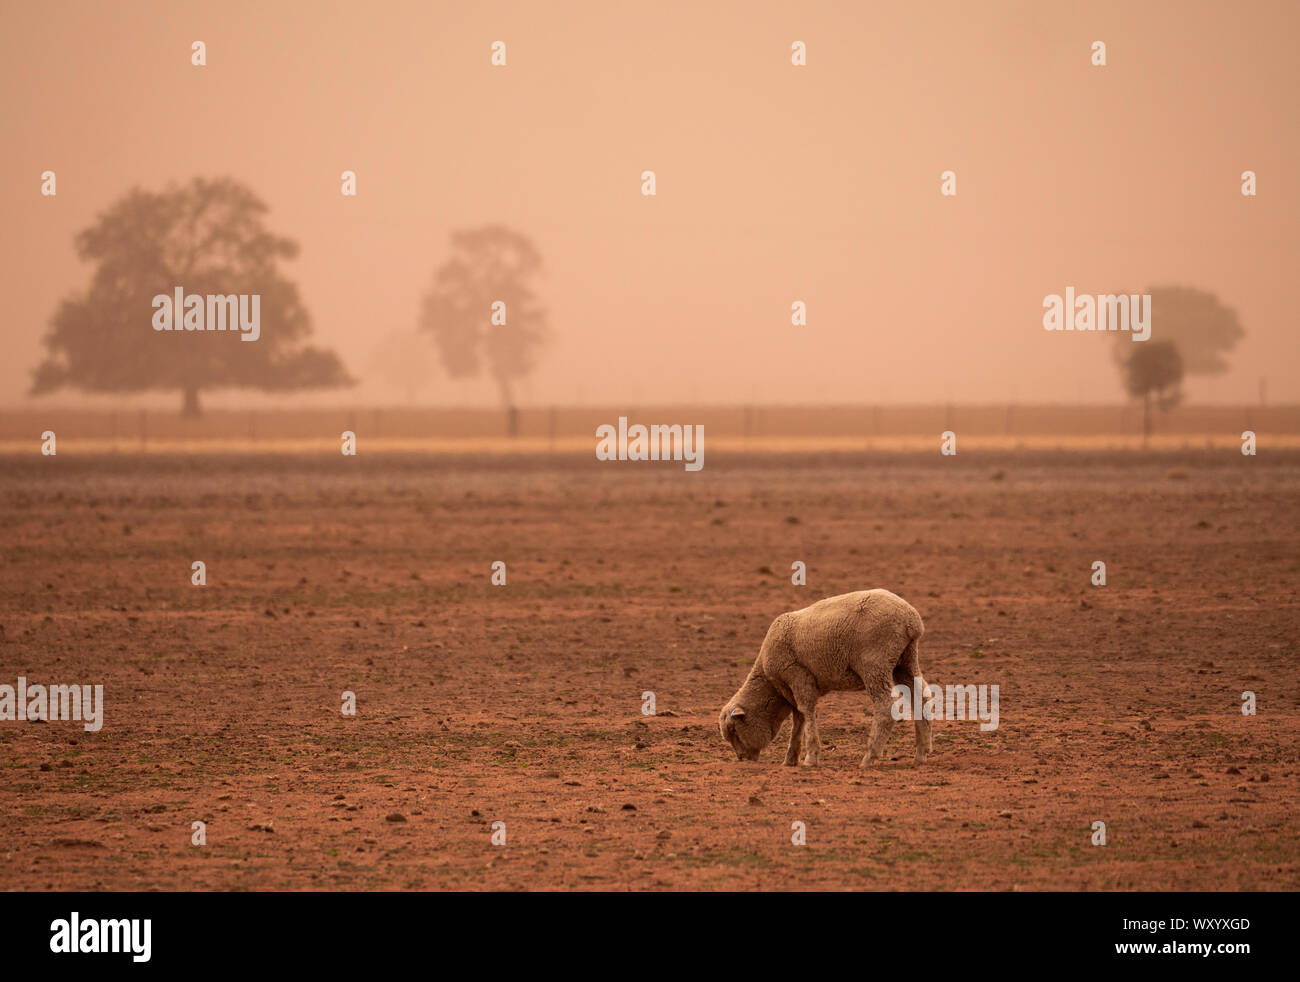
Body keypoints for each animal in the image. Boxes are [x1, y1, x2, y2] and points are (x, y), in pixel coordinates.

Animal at [718, 589, 932, 767]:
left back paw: (869, 757)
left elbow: (806, 711)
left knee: (886, 706)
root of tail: (911, 620)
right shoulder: (791, 690)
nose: (741, 758)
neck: (771, 686)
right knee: (921, 697)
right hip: (905, 660)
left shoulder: (798, 675)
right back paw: (921, 754)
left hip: (874, 663)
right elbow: (798, 719)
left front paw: (811, 758)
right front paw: (790, 759)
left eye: (735, 731)